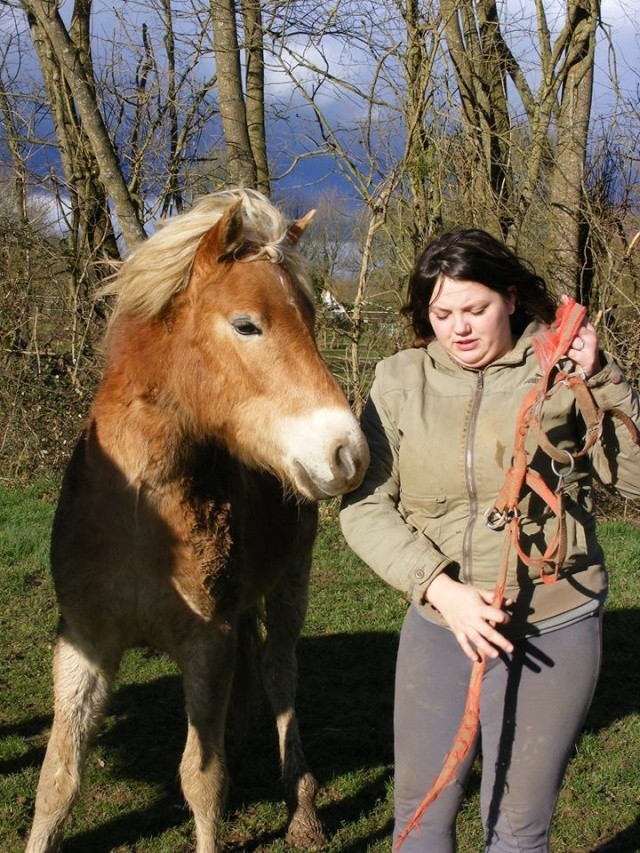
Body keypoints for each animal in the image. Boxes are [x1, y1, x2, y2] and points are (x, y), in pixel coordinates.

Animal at [26, 188, 370, 852]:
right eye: (247, 325)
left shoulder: (205, 644)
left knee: (279, 672)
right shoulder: (83, 642)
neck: (140, 514)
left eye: (313, 323)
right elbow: (58, 778)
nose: (350, 453)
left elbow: (202, 780)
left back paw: (303, 808)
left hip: (291, 582)